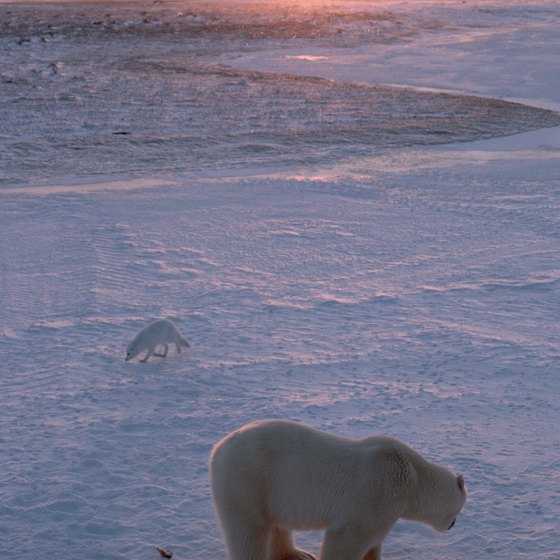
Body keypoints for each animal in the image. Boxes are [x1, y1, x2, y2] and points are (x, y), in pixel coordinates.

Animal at [208, 420, 466, 560]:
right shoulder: (378, 494)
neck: (411, 475)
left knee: (277, 525)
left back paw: (298, 554)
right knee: (248, 531)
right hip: (246, 482)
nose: (453, 524)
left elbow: (373, 542)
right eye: (459, 509)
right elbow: (347, 538)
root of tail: (218, 449)